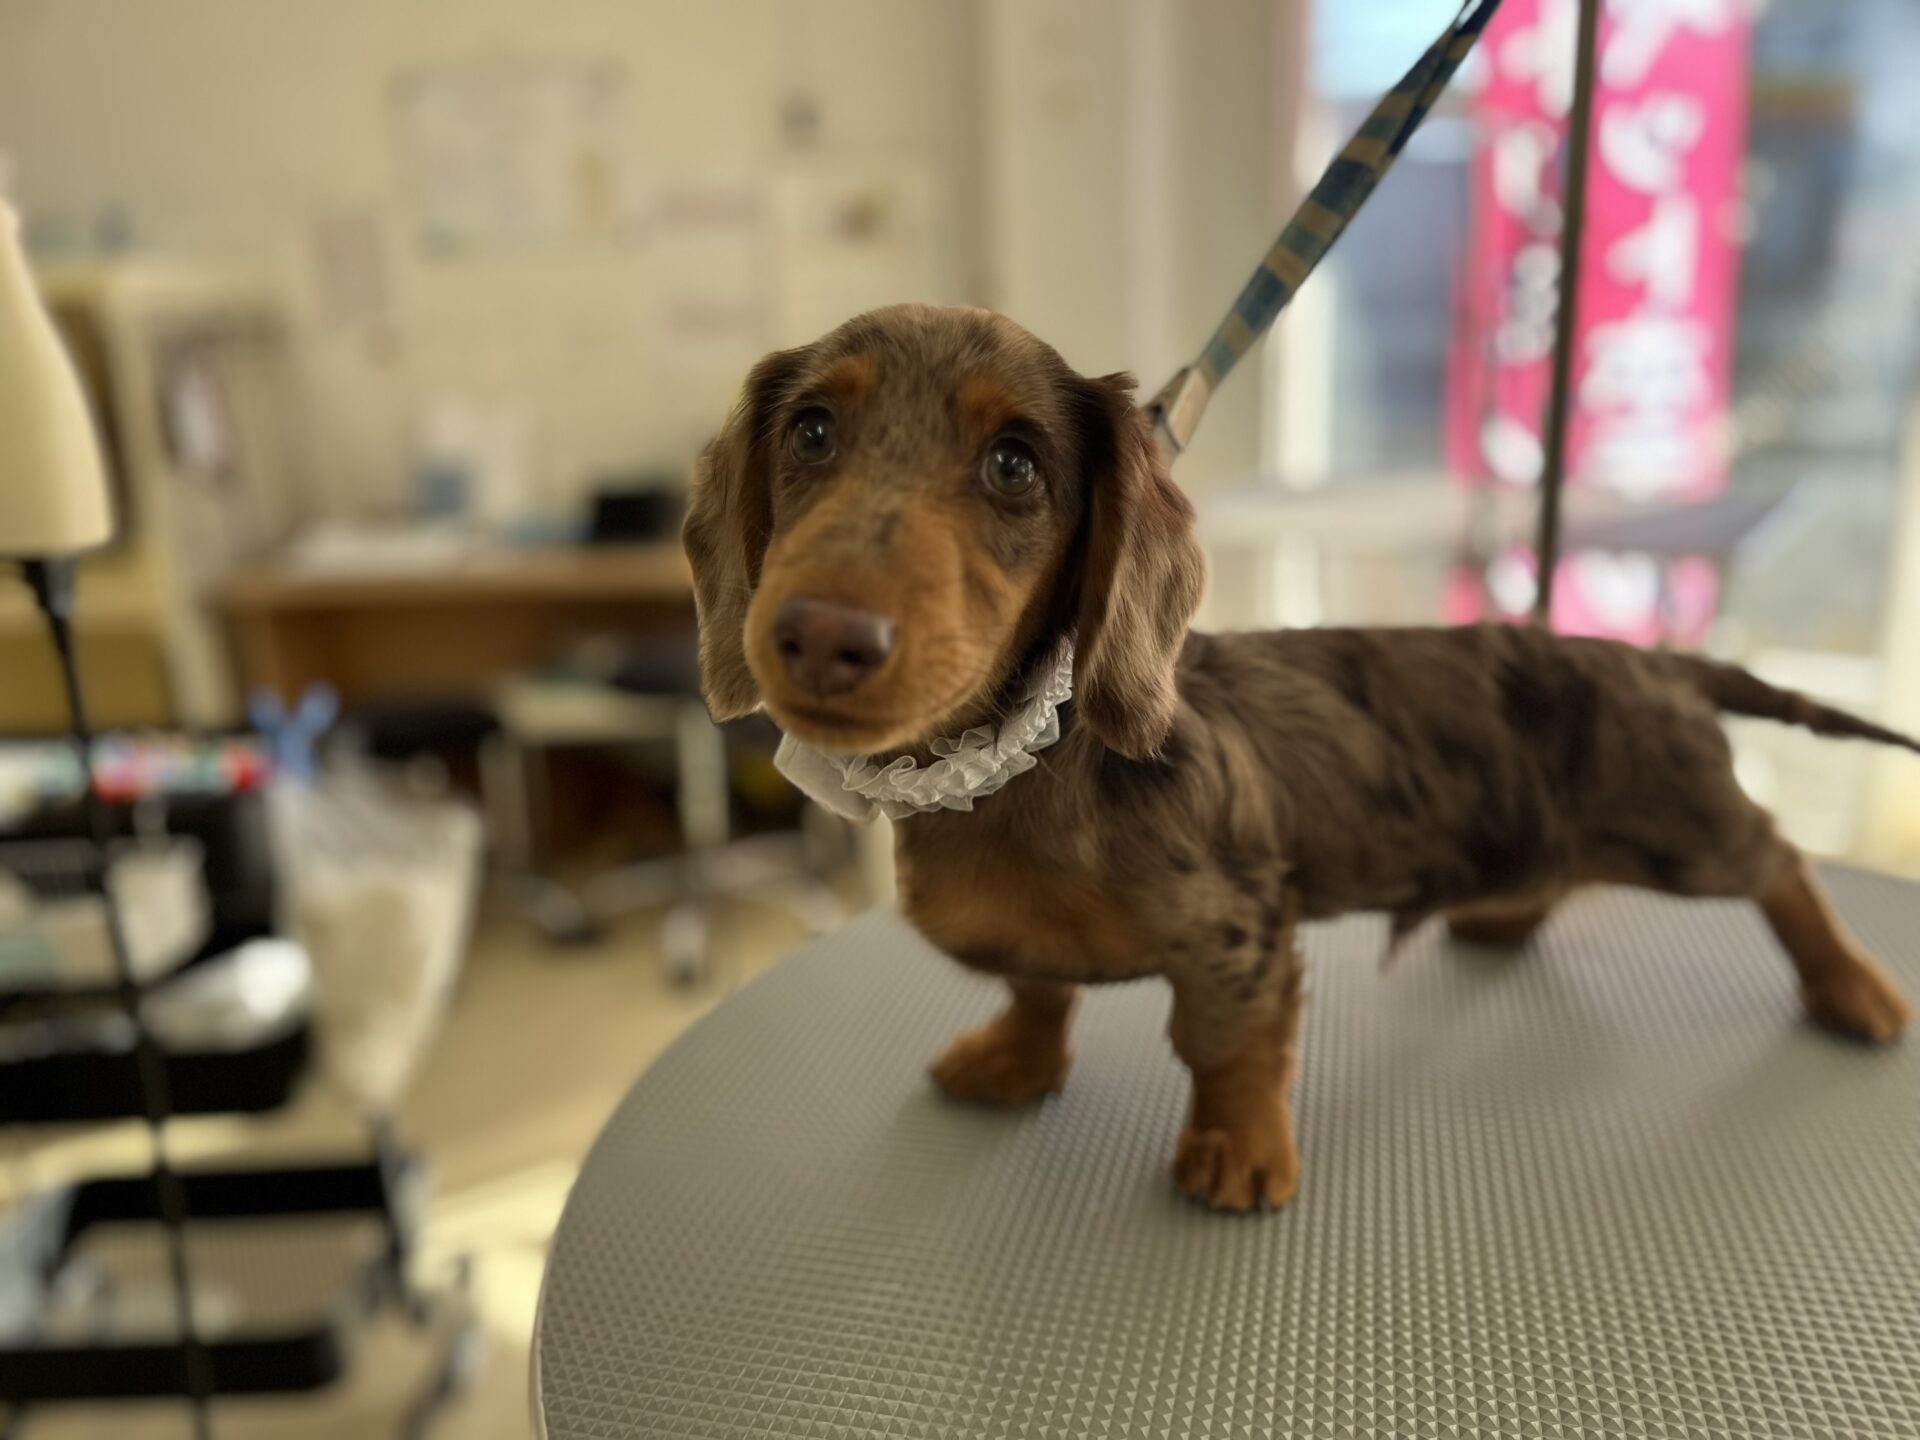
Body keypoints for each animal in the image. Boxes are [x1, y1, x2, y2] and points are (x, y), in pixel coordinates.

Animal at [683, 302, 1915, 1212]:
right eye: (810, 433)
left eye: (1015, 464)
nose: (822, 635)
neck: (1022, 770)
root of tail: (1657, 660)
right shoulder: (1029, 942)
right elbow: (1039, 991)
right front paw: (1019, 1060)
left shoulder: (1241, 927)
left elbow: (1225, 1043)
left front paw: (1238, 1148)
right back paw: (1505, 911)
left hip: (1684, 826)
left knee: (1779, 860)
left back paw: (1850, 983)